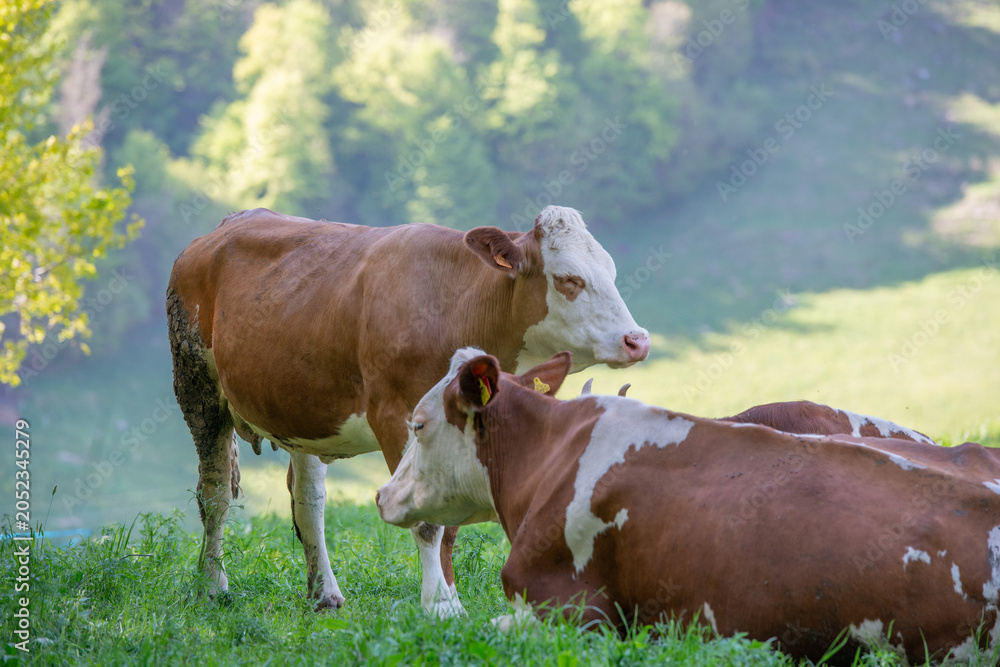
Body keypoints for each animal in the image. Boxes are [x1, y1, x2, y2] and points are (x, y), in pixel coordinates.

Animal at [166, 205, 649, 615]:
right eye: (568, 279)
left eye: (611, 272)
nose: (638, 339)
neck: (458, 304)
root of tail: (228, 224)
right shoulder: (394, 414)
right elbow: (429, 522)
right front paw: (439, 607)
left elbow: (449, 520)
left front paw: (452, 601)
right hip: (196, 387)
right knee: (214, 495)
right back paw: (212, 585)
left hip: (300, 408)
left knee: (308, 501)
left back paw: (324, 593)